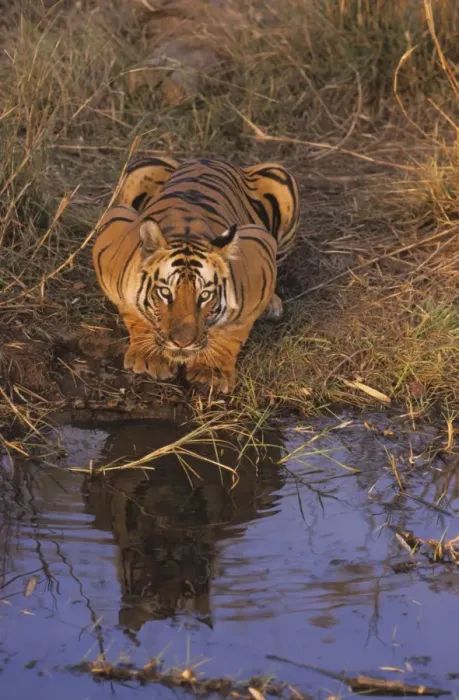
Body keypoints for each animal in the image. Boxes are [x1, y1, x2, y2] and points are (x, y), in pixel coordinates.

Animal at [92, 156, 300, 393]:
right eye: (165, 293)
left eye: (205, 295)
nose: (182, 343)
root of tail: (211, 158)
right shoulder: (113, 228)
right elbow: (133, 313)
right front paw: (149, 359)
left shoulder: (260, 249)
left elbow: (233, 332)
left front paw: (211, 372)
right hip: (140, 168)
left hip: (281, 179)